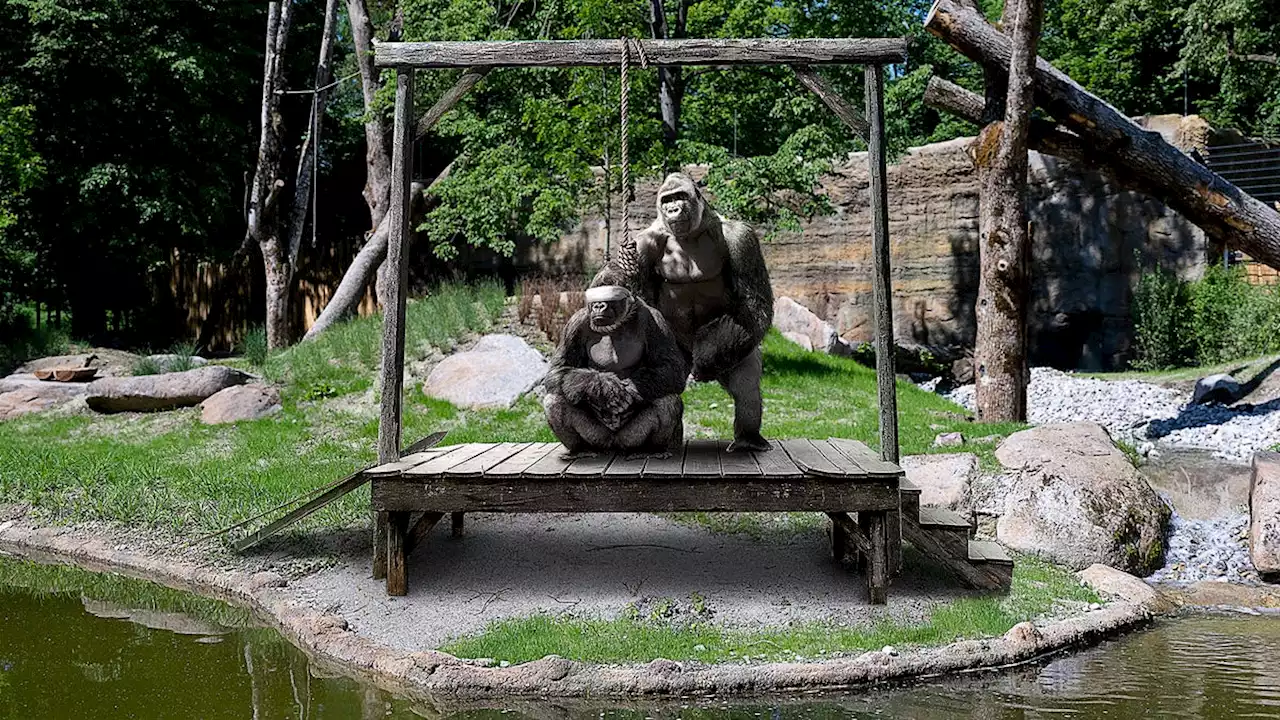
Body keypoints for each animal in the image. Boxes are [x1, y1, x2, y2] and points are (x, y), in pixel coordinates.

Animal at [542, 281, 691, 453]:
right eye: (595, 300)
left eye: (609, 299)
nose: (599, 305)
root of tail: (613, 444)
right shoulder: (575, 323)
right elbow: (559, 370)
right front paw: (603, 386)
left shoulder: (654, 319)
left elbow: (671, 368)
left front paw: (629, 390)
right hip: (598, 437)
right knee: (554, 401)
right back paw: (582, 449)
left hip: (630, 438)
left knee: (666, 400)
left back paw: (653, 450)